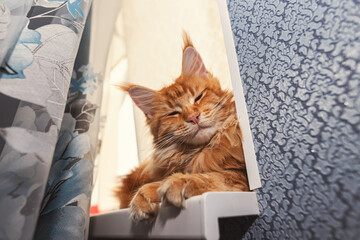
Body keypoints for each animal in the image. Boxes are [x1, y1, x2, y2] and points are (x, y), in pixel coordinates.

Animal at [116, 32, 249, 222]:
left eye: (198, 97)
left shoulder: (241, 174)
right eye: (173, 113)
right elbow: (153, 185)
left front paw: (179, 182)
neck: (201, 152)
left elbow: (213, 176)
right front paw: (143, 197)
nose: (193, 117)